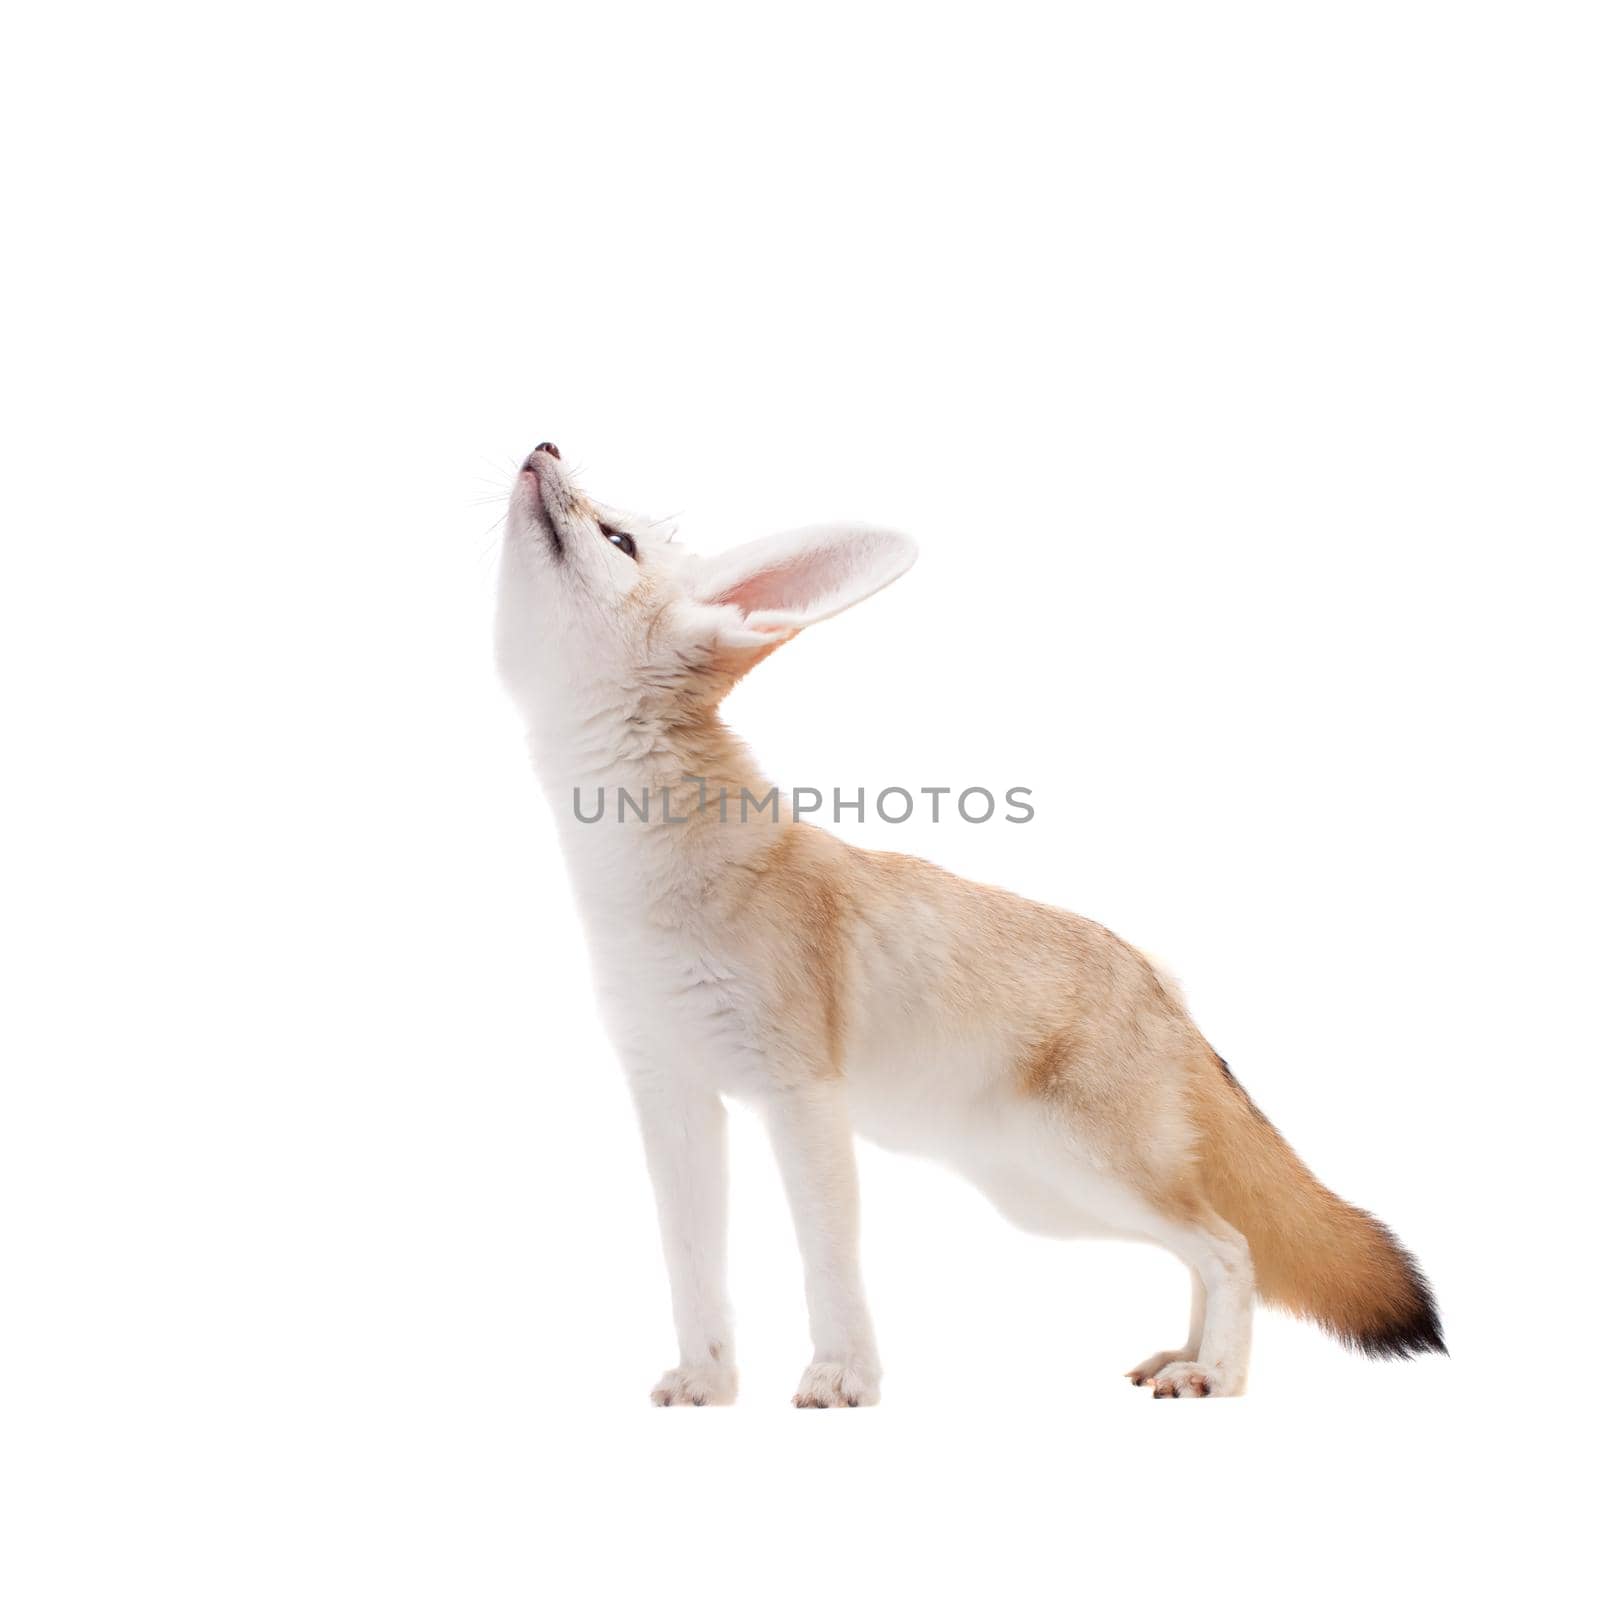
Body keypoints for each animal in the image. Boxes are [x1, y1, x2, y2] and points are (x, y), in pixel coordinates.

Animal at [492, 438, 1446, 1401]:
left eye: (617, 537)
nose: (546, 445)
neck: (637, 888)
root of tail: (1162, 981)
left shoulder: (800, 1095)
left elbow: (827, 1263)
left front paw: (843, 1376)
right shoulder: (671, 1094)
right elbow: (692, 1269)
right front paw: (709, 1382)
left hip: (1084, 1172)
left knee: (1232, 1246)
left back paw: (1216, 1374)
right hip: (1049, 1197)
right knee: (1207, 1248)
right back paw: (1185, 1353)